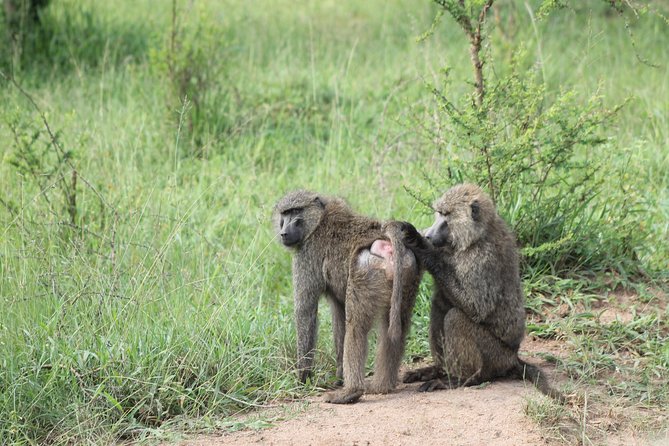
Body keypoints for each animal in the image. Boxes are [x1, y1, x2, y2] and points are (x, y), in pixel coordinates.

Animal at [273, 190, 422, 404]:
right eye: (284, 214)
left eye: (295, 212)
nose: (284, 232)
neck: (319, 220)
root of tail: (385, 241)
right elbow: (338, 318)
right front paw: (338, 377)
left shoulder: (306, 255)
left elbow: (305, 312)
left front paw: (303, 379)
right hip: (408, 274)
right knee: (395, 328)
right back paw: (380, 386)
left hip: (364, 271)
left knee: (355, 329)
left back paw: (351, 392)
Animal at [399, 183, 563, 401]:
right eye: (439, 213)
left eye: (446, 215)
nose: (428, 235)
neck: (476, 236)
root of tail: (513, 357)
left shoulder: (482, 259)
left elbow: (476, 307)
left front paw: (419, 244)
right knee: (439, 306)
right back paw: (438, 371)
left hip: (495, 356)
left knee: (455, 317)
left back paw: (462, 380)